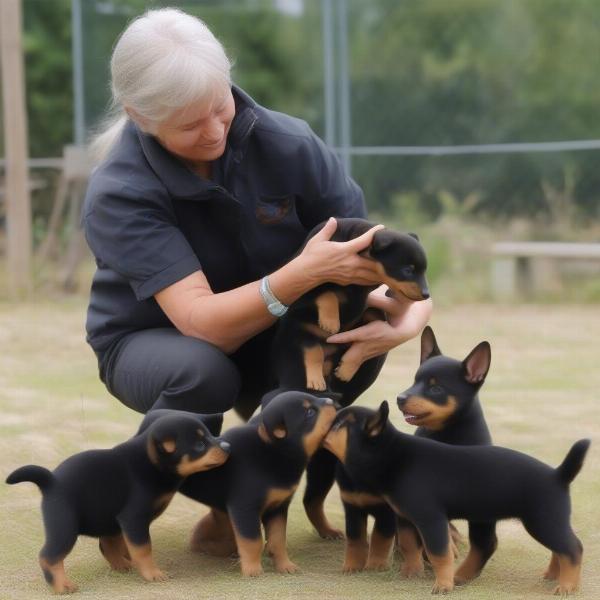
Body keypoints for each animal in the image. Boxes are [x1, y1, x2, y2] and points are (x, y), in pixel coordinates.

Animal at [5, 410, 231, 592]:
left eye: (211, 435)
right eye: (199, 445)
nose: (228, 446)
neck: (151, 463)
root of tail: (51, 481)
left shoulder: (124, 521)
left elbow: (124, 545)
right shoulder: (134, 518)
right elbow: (143, 549)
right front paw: (153, 574)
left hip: (106, 519)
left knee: (106, 544)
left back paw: (121, 565)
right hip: (64, 526)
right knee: (48, 556)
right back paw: (62, 586)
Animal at [176, 390, 340, 576]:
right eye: (309, 412)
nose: (332, 401)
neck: (272, 451)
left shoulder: (277, 507)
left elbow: (278, 540)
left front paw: (285, 566)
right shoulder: (245, 508)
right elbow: (252, 542)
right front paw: (253, 571)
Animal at [324, 400, 592, 592]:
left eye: (338, 426)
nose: (327, 420)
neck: (391, 453)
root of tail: (558, 474)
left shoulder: (431, 520)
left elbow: (439, 553)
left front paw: (443, 585)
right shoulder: (406, 519)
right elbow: (410, 545)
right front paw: (411, 573)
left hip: (543, 521)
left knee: (572, 548)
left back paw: (567, 586)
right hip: (522, 521)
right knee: (548, 548)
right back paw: (551, 576)